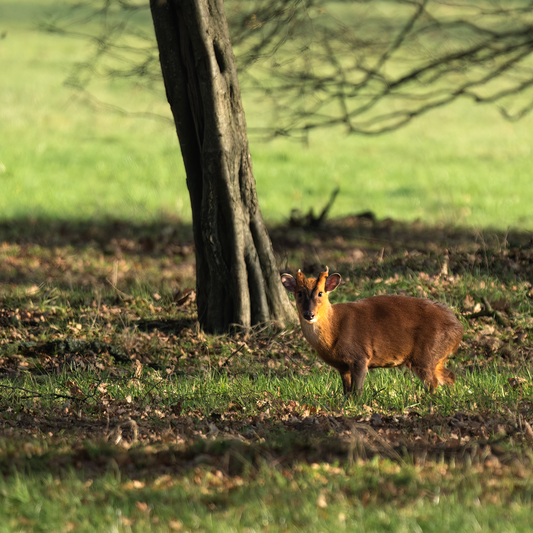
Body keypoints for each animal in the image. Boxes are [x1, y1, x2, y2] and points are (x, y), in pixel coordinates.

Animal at [278, 266, 462, 394]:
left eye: (320, 293)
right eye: (299, 293)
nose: (309, 314)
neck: (334, 331)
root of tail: (458, 328)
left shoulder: (359, 356)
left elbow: (357, 391)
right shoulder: (342, 366)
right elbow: (346, 392)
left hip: (427, 354)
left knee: (433, 383)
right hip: (436, 357)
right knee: (450, 376)